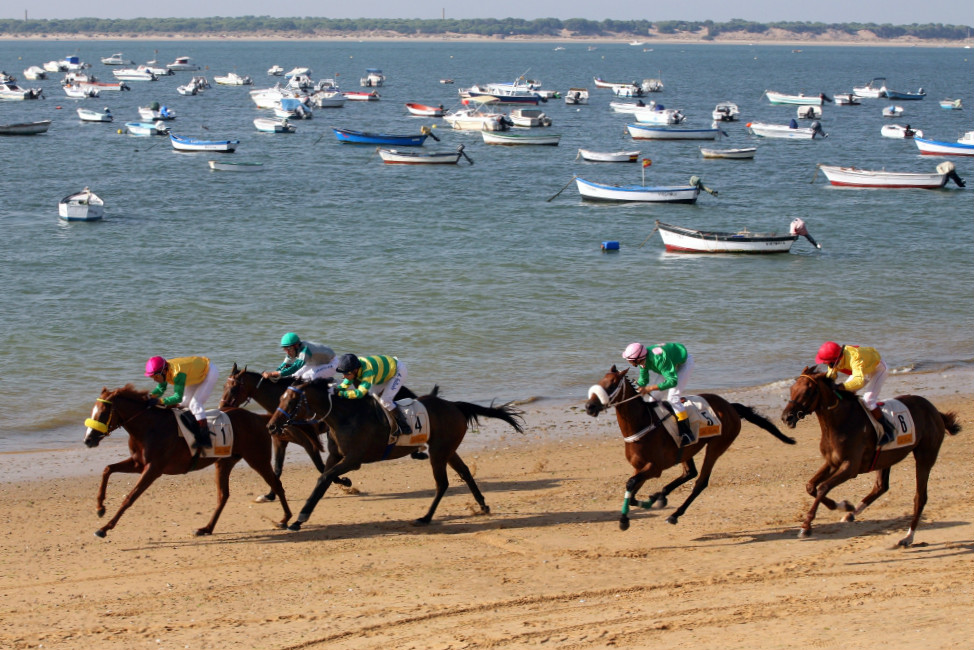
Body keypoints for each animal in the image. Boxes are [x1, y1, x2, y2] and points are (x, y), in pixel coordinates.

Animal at [84, 384, 292, 536]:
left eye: (102, 413)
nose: (88, 440)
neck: (149, 426)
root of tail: (259, 417)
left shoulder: (153, 469)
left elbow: (130, 497)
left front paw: (104, 528)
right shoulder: (138, 463)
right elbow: (107, 469)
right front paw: (100, 508)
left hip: (257, 459)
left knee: (277, 484)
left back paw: (285, 519)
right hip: (224, 462)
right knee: (223, 495)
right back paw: (206, 528)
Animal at [266, 378, 528, 528]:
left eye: (292, 402)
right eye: (280, 398)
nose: (271, 426)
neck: (345, 416)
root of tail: (455, 406)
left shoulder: (353, 459)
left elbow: (323, 478)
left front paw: (300, 518)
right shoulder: (336, 456)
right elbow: (324, 478)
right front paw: (299, 518)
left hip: (439, 452)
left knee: (442, 483)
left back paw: (425, 518)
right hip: (448, 450)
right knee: (464, 472)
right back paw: (482, 505)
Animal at [584, 364, 796, 528]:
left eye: (612, 384)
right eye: (600, 380)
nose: (589, 406)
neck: (644, 424)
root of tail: (730, 406)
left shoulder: (655, 467)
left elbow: (631, 483)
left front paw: (624, 520)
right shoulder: (640, 466)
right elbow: (633, 489)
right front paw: (649, 500)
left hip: (717, 446)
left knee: (700, 481)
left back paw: (674, 514)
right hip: (687, 450)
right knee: (690, 473)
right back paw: (661, 497)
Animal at [780, 368, 964, 544]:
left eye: (808, 391)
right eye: (792, 389)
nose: (786, 417)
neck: (840, 422)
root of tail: (935, 411)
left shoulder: (851, 466)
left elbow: (823, 487)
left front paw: (806, 526)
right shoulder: (832, 462)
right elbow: (811, 486)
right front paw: (845, 506)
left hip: (925, 456)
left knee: (920, 497)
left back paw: (907, 537)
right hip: (886, 458)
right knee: (881, 486)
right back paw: (851, 514)